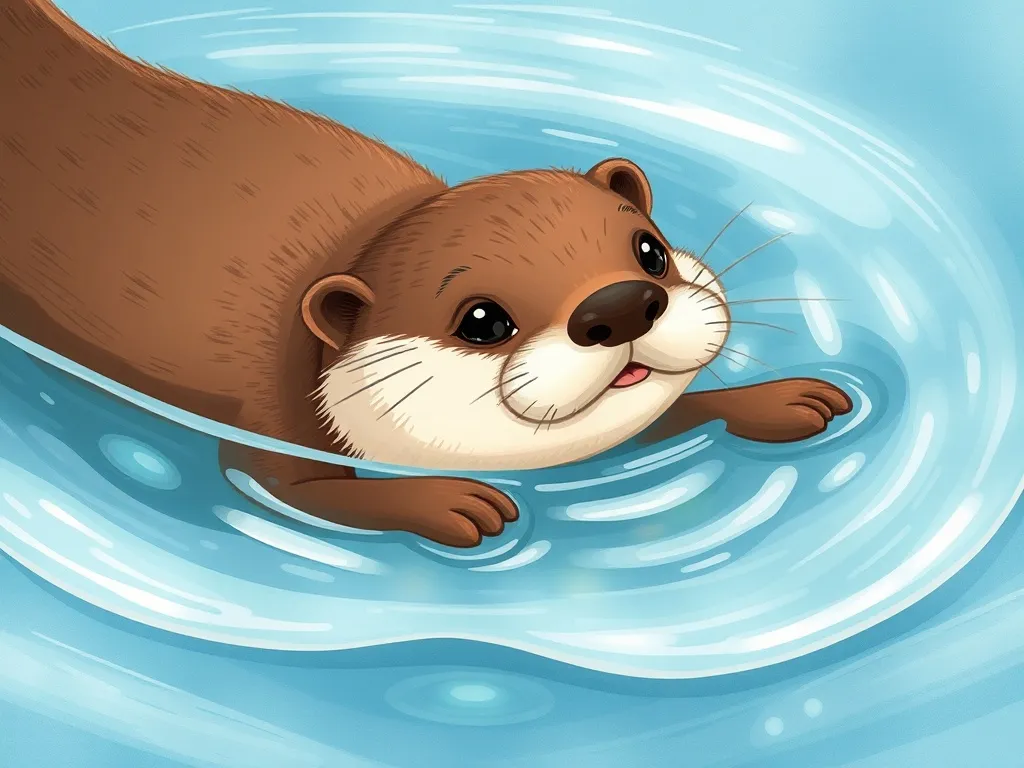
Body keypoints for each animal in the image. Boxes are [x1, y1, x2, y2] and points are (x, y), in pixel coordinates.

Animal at [0, 0, 852, 547]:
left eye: (649, 250)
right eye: (483, 320)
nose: (621, 305)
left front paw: (782, 398)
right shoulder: (267, 418)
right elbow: (292, 492)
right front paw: (449, 501)